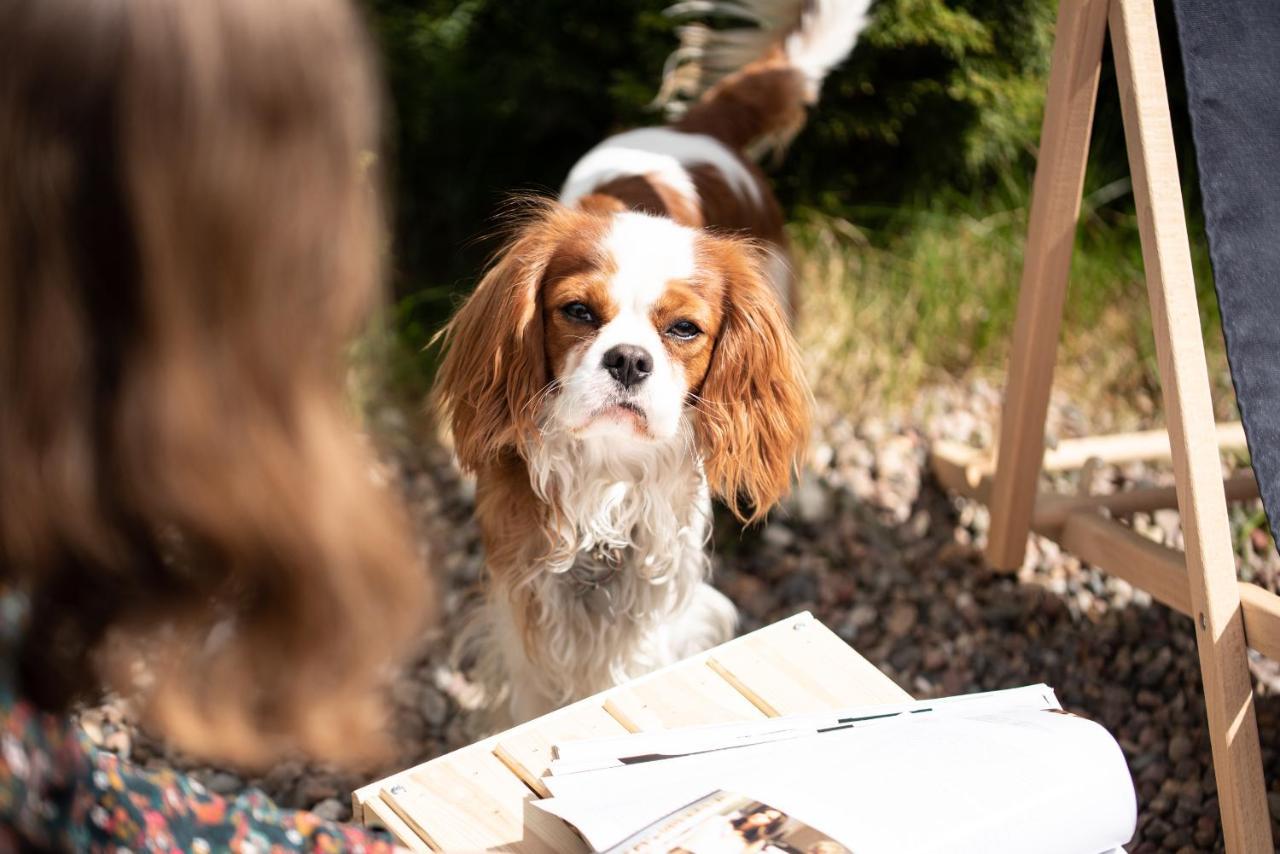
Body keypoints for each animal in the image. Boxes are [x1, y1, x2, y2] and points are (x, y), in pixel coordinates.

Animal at [437, 0, 870, 727]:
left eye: (684, 329)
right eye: (578, 312)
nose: (630, 361)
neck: (609, 481)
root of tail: (692, 128)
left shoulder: (665, 595)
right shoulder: (523, 598)